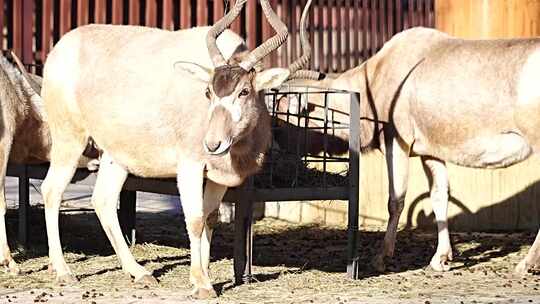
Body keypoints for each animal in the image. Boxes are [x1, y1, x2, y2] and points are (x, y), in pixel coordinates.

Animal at [42, 0, 316, 298]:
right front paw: (202, 284)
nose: (213, 144)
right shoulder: (190, 167)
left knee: (102, 200)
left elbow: (210, 217)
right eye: (208, 92)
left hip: (115, 156)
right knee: (52, 190)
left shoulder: (218, 176)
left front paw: (203, 275)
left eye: (244, 91)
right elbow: (195, 219)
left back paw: (139, 273)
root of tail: (61, 48)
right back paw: (63, 271)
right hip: (70, 137)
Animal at [288, 25, 540, 274]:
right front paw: (440, 259)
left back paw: (526, 263)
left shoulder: (397, 143)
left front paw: (381, 258)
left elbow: (396, 200)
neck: (378, 73)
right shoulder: (431, 153)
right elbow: (439, 195)